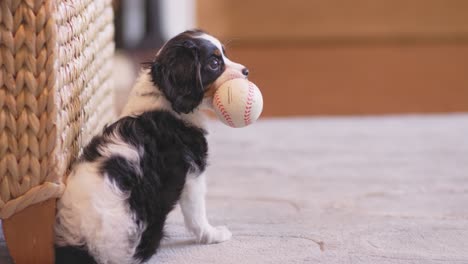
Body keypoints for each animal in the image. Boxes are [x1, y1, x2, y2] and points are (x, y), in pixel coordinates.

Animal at [54, 29, 249, 264]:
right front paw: (213, 235)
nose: (246, 71)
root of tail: (83, 248)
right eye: (214, 63)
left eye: (224, 55)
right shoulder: (193, 173)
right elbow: (196, 215)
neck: (164, 101)